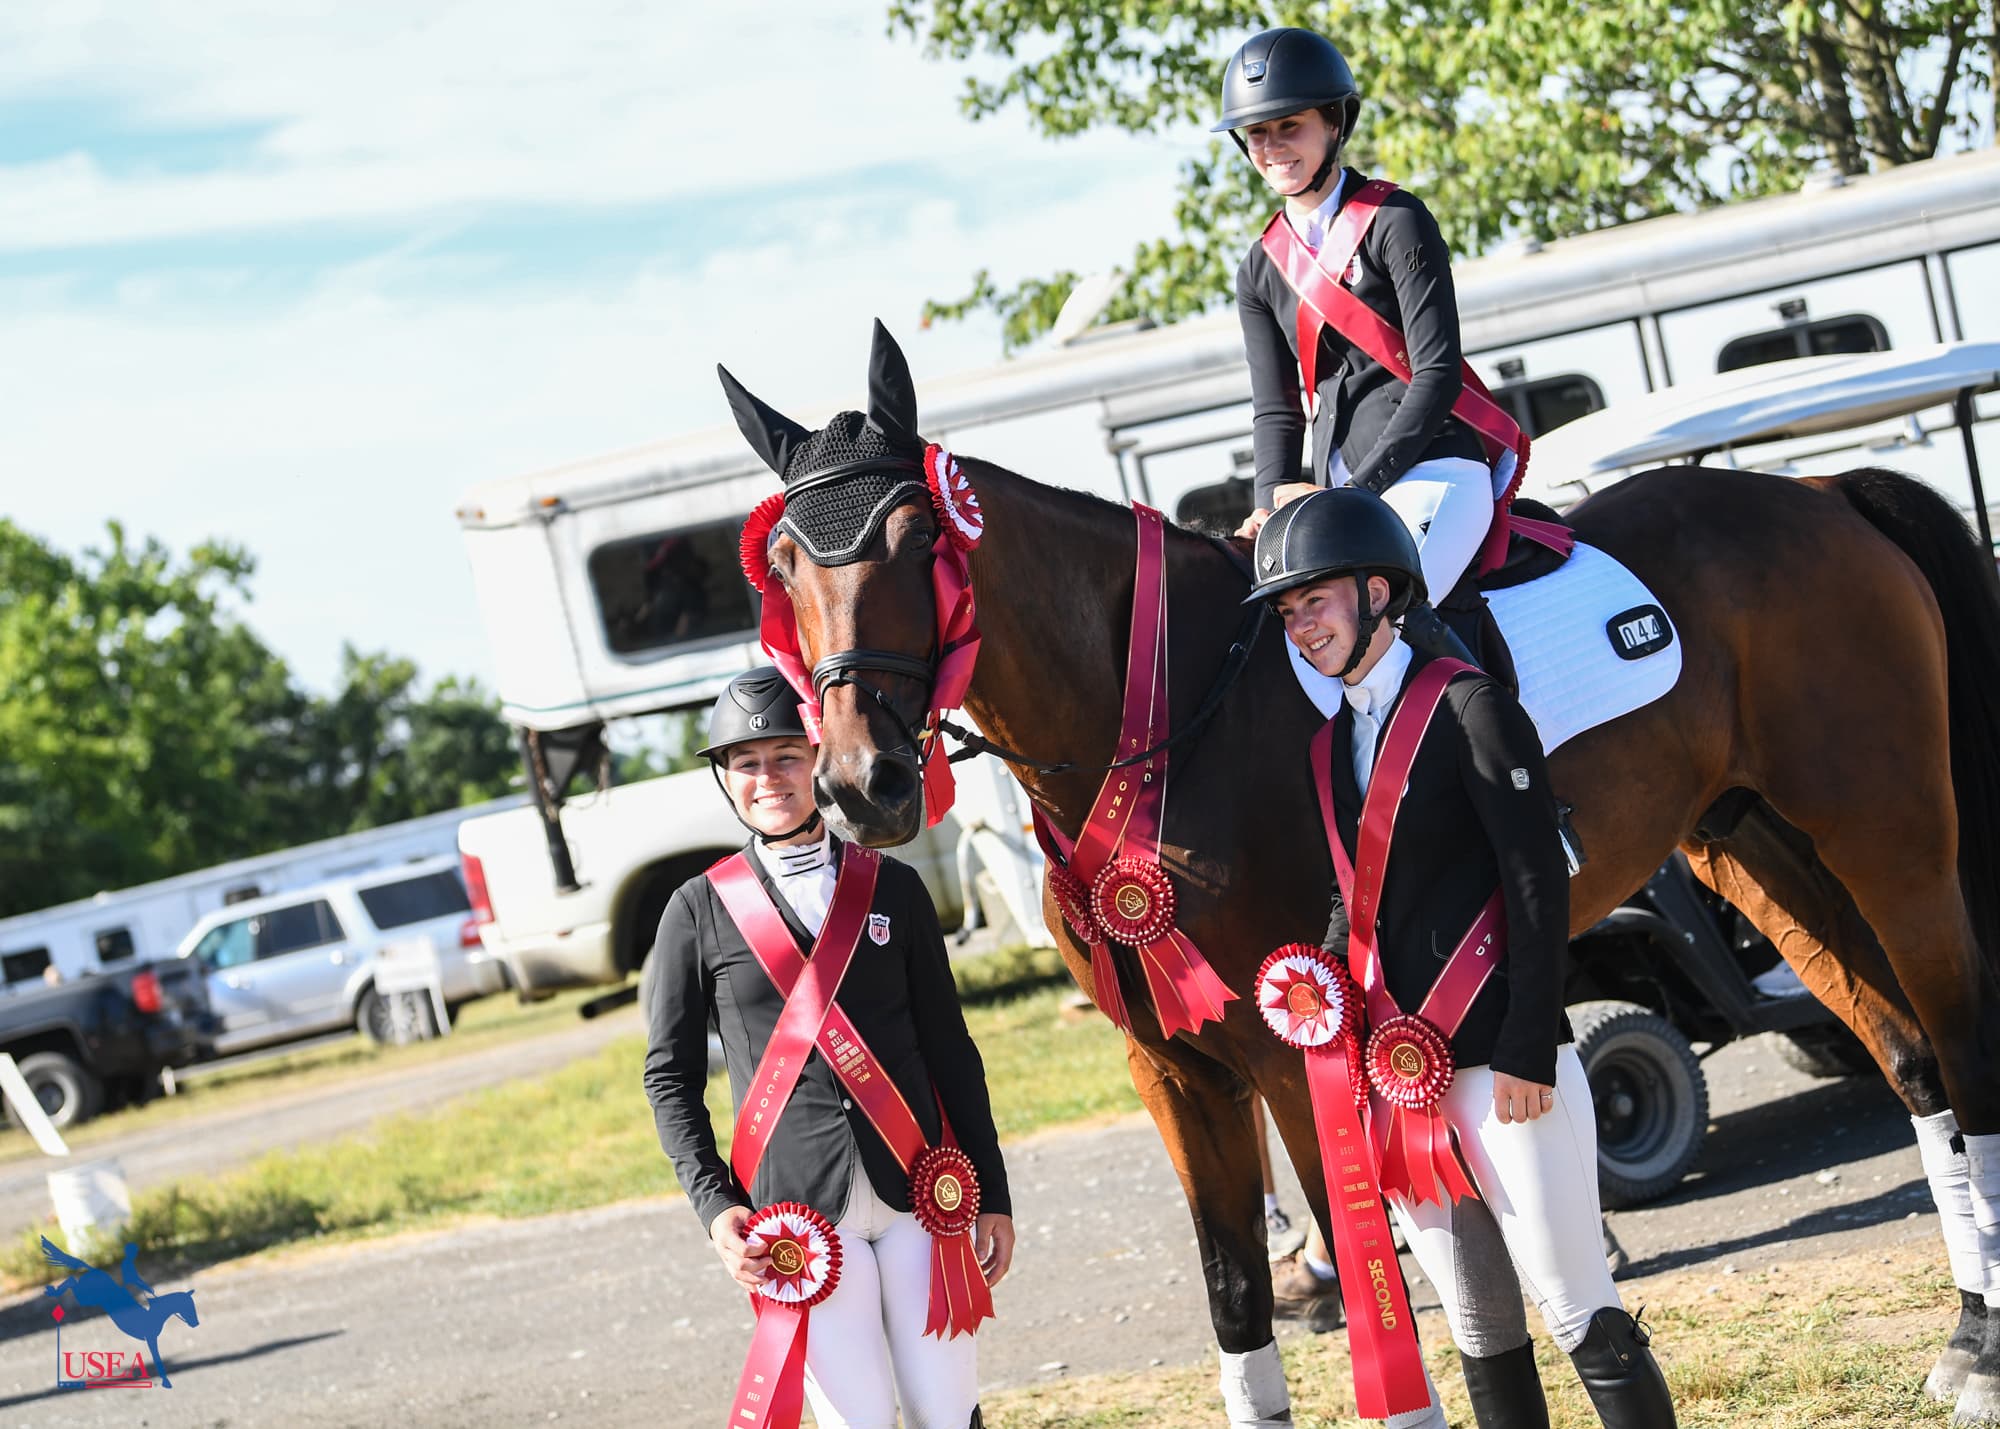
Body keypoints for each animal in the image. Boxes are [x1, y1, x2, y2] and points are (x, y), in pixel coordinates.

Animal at [724, 324, 2000, 1425]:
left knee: (1957, 1037)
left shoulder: (1291, 1045)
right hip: (1755, 854)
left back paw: (1982, 1356)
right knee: (1904, 1055)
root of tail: (1820, 494)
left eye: (912, 540)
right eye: (782, 560)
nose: (863, 784)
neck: (1163, 720)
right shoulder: (1172, 1071)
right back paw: (1959, 1329)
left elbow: (1361, 1247)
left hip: (1888, 836)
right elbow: (1234, 1294)